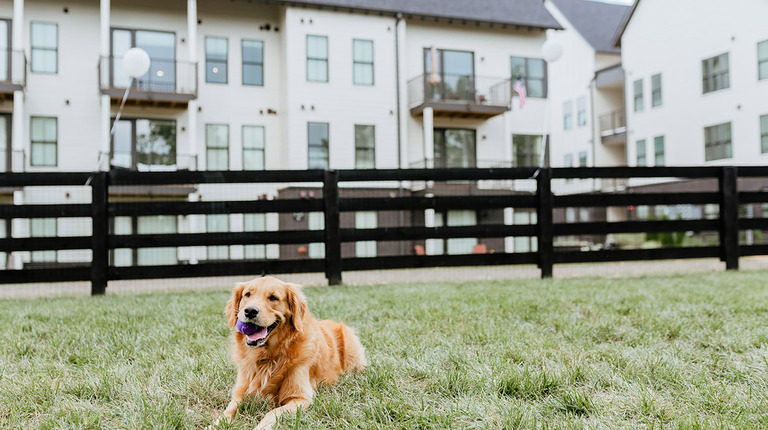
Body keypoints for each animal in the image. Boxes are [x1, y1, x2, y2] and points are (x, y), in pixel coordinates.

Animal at [213, 276, 364, 430]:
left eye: (273, 297)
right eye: (247, 294)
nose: (249, 311)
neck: (268, 356)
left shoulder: (300, 397)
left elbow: (272, 413)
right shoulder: (239, 394)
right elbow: (226, 413)